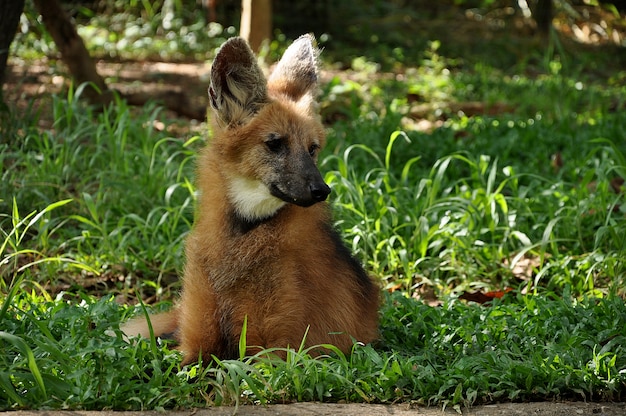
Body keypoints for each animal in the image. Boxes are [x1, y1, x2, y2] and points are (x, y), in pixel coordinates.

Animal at [120, 34, 376, 362]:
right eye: (275, 144)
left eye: (312, 149)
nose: (321, 190)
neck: (243, 233)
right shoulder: (196, 342)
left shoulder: (275, 352)